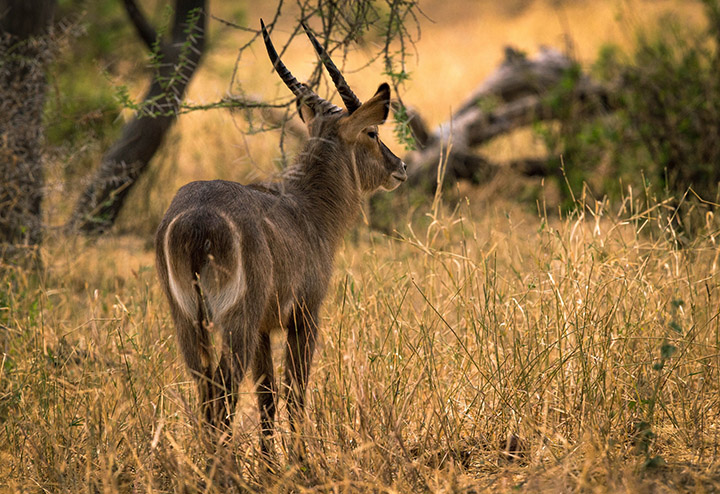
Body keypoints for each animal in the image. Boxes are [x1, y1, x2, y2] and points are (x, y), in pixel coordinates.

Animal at [155, 20, 408, 456]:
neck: (306, 210)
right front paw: (303, 459)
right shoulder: (304, 314)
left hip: (189, 320)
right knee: (223, 389)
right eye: (373, 132)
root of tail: (195, 220)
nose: (401, 166)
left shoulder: (263, 327)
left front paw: (272, 461)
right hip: (233, 319)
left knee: (205, 389)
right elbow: (295, 391)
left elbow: (268, 396)